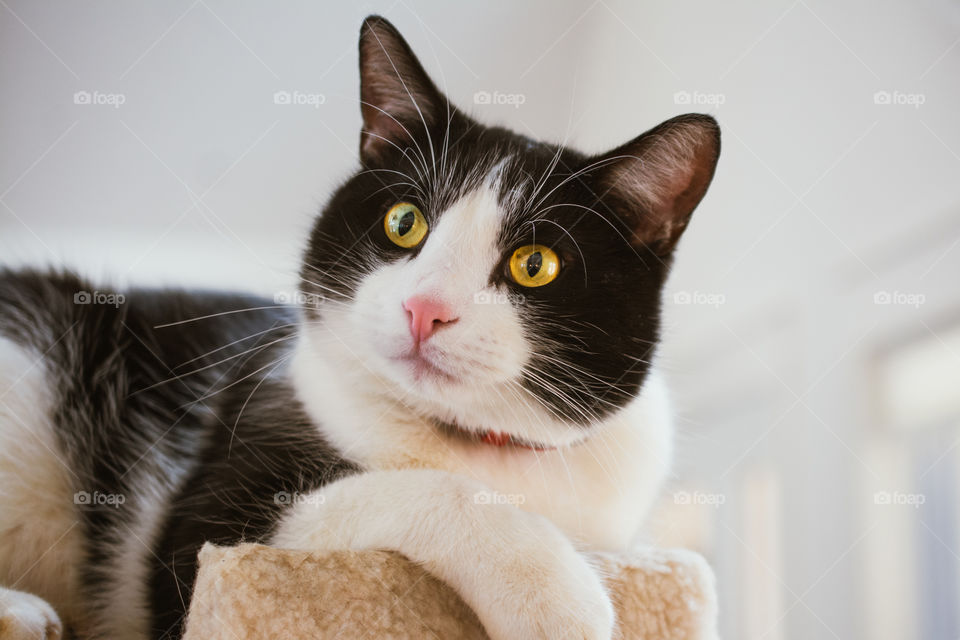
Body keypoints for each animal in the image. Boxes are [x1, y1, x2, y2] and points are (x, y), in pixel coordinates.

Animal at [0, 13, 720, 640]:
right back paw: (26, 613)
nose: (425, 308)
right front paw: (559, 599)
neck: (477, 444)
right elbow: (419, 491)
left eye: (534, 264)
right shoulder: (212, 522)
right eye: (404, 222)